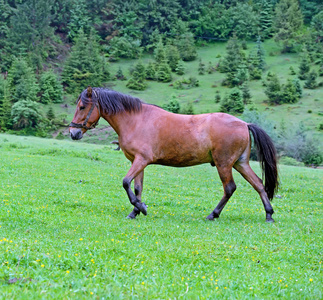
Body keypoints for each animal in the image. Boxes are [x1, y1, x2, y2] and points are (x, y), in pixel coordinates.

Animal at [69, 86, 280, 223]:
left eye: (82, 107)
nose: (73, 132)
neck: (136, 120)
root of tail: (244, 123)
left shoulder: (141, 160)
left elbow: (126, 183)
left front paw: (141, 208)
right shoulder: (137, 162)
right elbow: (136, 188)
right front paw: (135, 211)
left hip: (224, 164)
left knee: (229, 188)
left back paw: (213, 214)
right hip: (240, 163)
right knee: (258, 184)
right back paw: (268, 214)